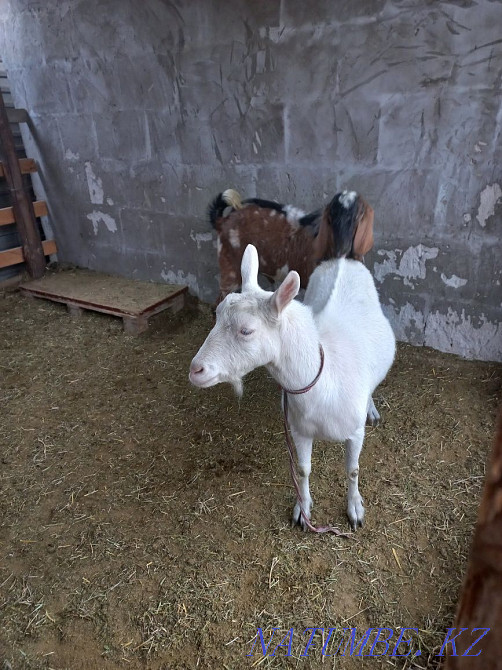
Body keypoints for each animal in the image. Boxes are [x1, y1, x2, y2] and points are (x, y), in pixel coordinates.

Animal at [189, 242, 396, 530]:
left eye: (246, 330)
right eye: (216, 316)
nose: (195, 370)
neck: (324, 378)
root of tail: (343, 259)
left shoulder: (355, 432)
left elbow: (353, 469)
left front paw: (355, 508)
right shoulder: (299, 429)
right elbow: (302, 469)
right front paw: (302, 509)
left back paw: (371, 408)